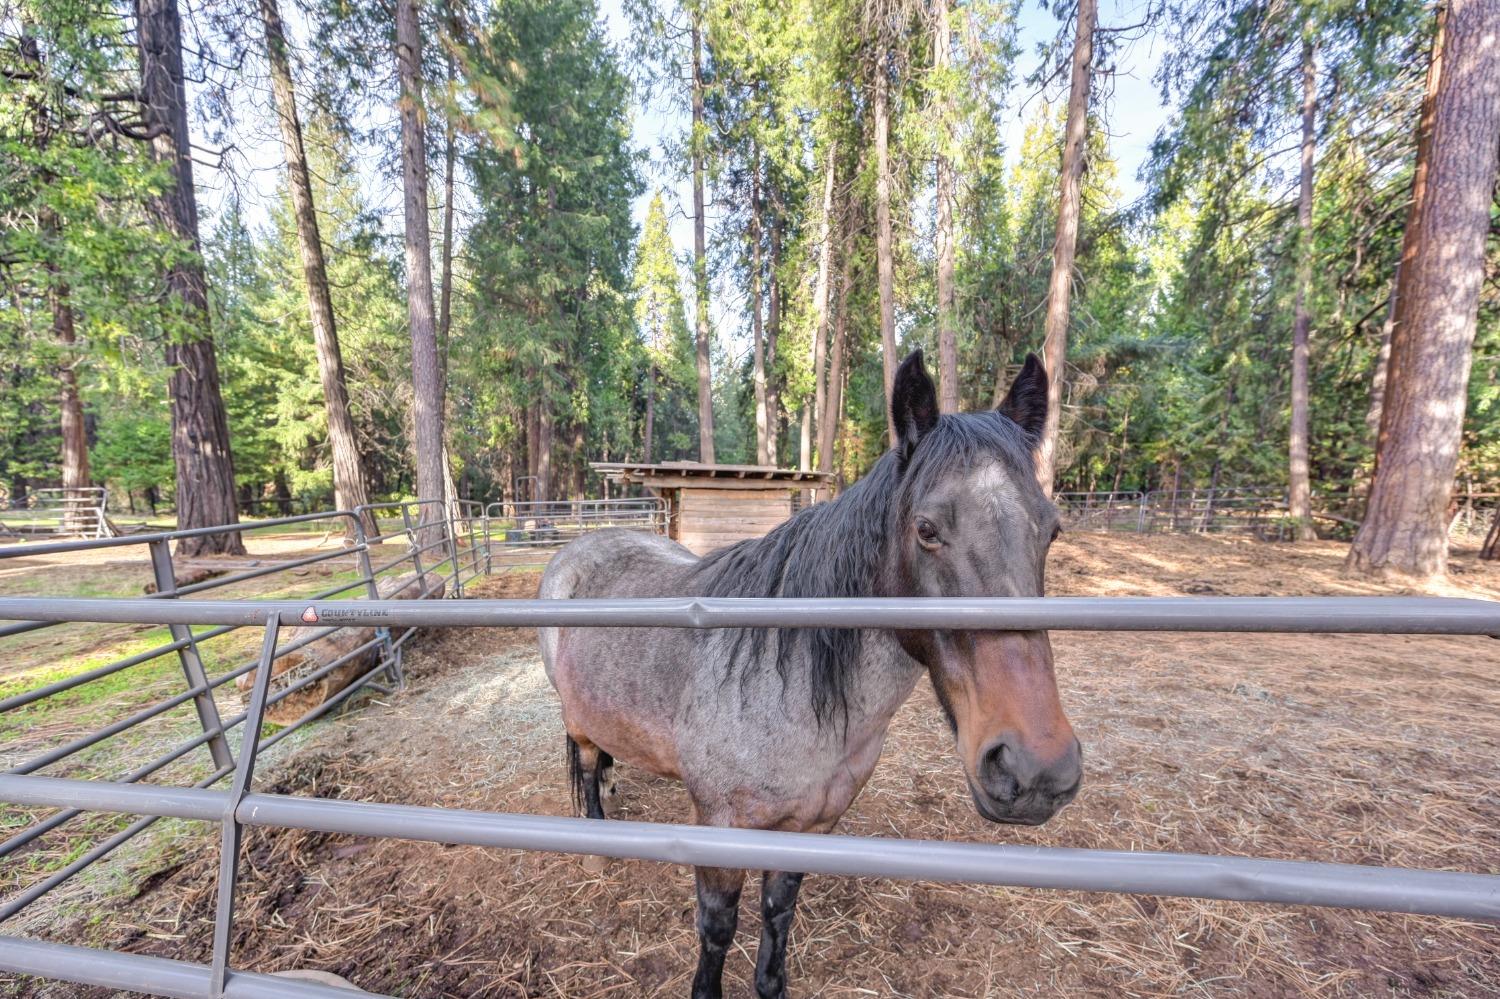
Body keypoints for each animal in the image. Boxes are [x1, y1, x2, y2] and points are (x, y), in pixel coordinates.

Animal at [540, 346, 1080, 990]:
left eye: (1051, 529)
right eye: (926, 530)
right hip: (574, 720)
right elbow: (717, 930)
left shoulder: (809, 830)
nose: (1036, 769)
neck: (788, 693)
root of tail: (580, 548)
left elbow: (779, 914)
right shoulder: (721, 830)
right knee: (586, 763)